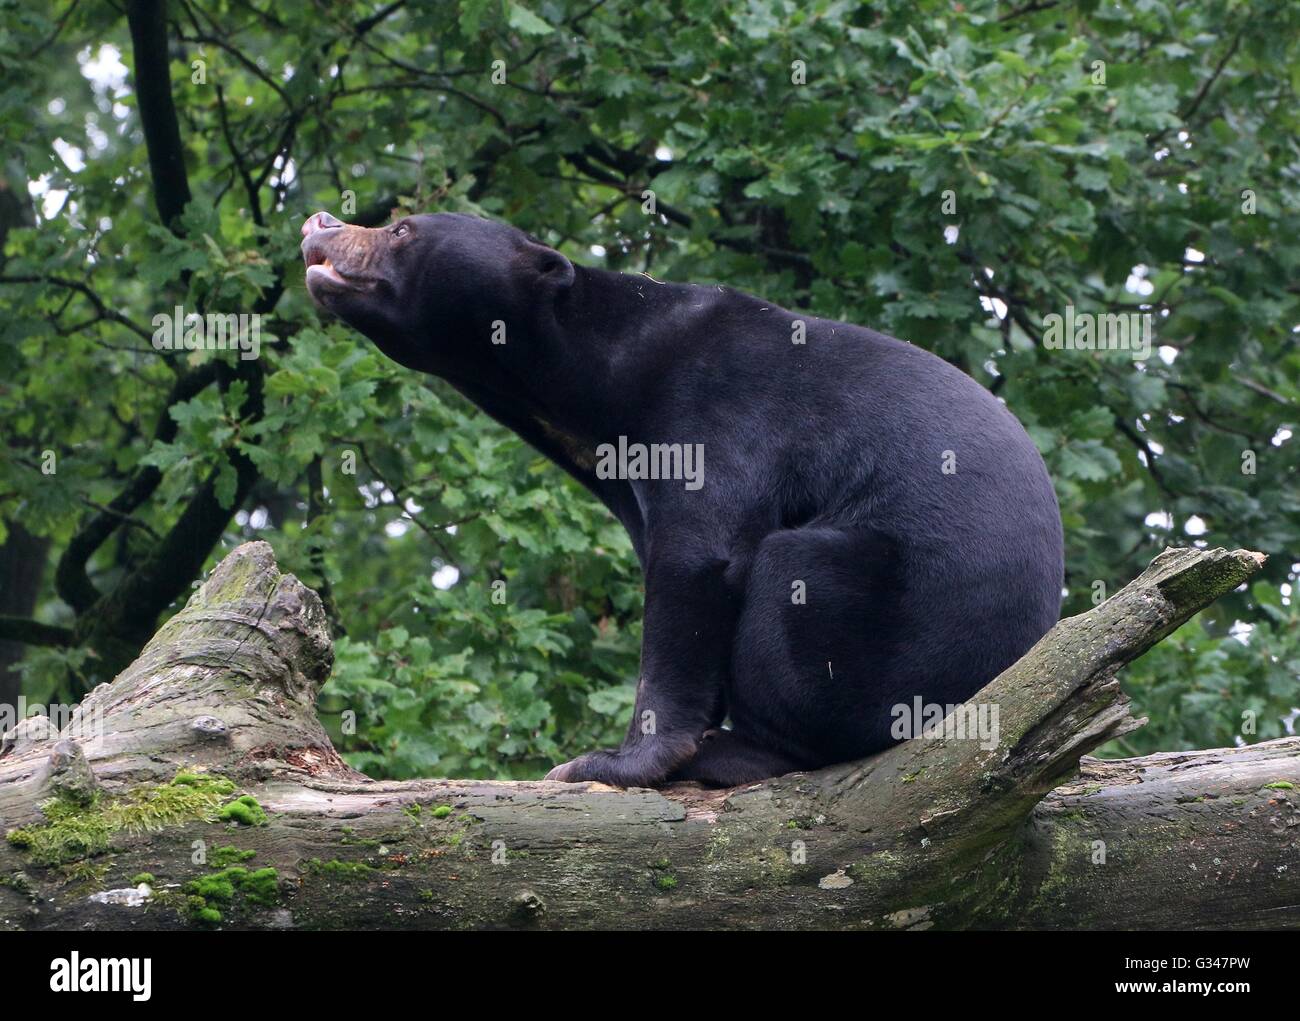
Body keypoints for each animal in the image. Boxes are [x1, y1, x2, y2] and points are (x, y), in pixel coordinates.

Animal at [301, 209, 1064, 788]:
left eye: (403, 228)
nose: (319, 221)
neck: (596, 380)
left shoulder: (717, 415)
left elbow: (699, 564)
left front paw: (607, 761)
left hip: (887, 628)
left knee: (793, 582)